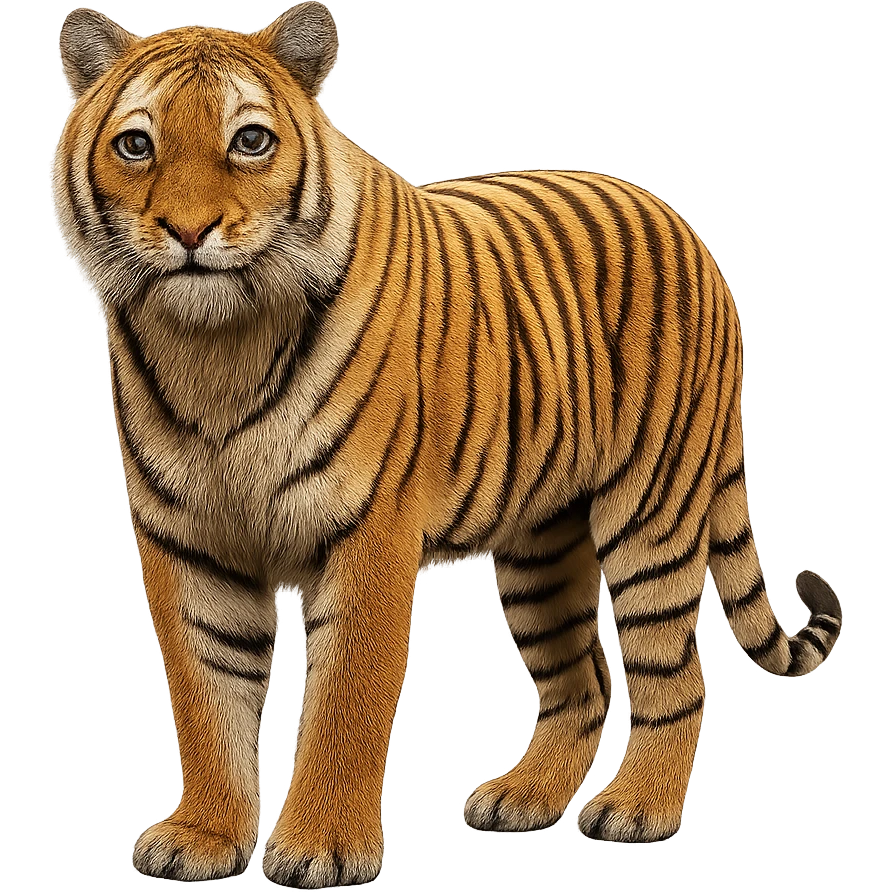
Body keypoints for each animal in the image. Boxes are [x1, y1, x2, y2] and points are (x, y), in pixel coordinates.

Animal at [52, 2, 843, 885]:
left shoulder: (370, 530)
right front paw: (203, 837)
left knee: (676, 675)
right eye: (136, 145)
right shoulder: (183, 539)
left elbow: (346, 700)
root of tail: (681, 223)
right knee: (582, 685)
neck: (215, 346)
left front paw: (321, 848)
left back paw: (638, 810)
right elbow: (204, 698)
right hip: (540, 540)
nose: (190, 231)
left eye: (250, 140)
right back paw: (522, 799)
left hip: (652, 512)